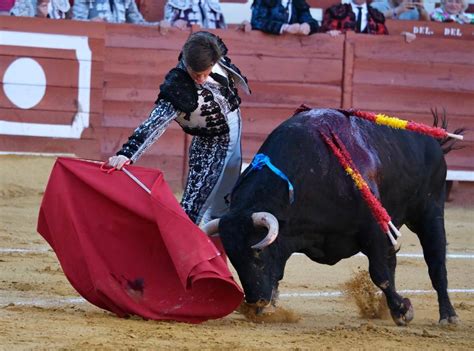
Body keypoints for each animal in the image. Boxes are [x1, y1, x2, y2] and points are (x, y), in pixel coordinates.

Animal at [204, 108, 460, 328]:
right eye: (233, 258)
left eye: (258, 253)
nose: (255, 302)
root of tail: (432, 141)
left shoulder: (374, 231)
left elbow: (380, 274)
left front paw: (403, 310)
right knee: (395, 262)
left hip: (429, 213)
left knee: (436, 262)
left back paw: (448, 316)